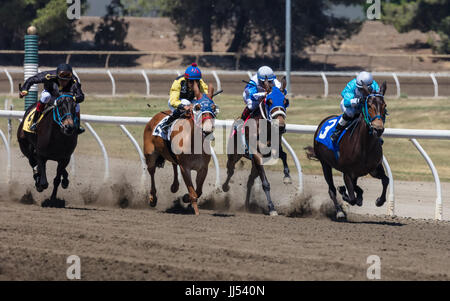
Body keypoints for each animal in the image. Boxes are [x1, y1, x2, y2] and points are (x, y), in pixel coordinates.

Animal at [142, 81, 216, 214]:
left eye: (213, 108)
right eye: (197, 107)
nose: (207, 129)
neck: (194, 143)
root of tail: (153, 118)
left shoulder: (203, 168)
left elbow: (198, 191)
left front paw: (186, 198)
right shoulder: (185, 168)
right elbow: (193, 192)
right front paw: (195, 211)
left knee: (173, 163)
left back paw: (174, 186)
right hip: (150, 155)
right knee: (152, 171)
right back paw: (152, 198)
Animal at [221, 76, 288, 214]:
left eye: (285, 101)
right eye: (269, 101)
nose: (280, 126)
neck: (265, 129)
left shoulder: (272, 151)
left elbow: (284, 155)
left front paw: (287, 176)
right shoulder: (256, 154)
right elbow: (265, 183)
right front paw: (271, 208)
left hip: (254, 163)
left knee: (250, 180)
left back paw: (247, 205)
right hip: (234, 155)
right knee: (230, 170)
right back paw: (225, 187)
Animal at [306, 82, 390, 220]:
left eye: (384, 105)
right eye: (369, 105)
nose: (378, 129)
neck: (364, 146)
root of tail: (322, 123)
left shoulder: (374, 169)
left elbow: (386, 180)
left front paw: (379, 200)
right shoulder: (347, 172)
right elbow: (351, 198)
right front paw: (344, 194)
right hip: (325, 164)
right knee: (331, 190)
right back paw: (340, 211)